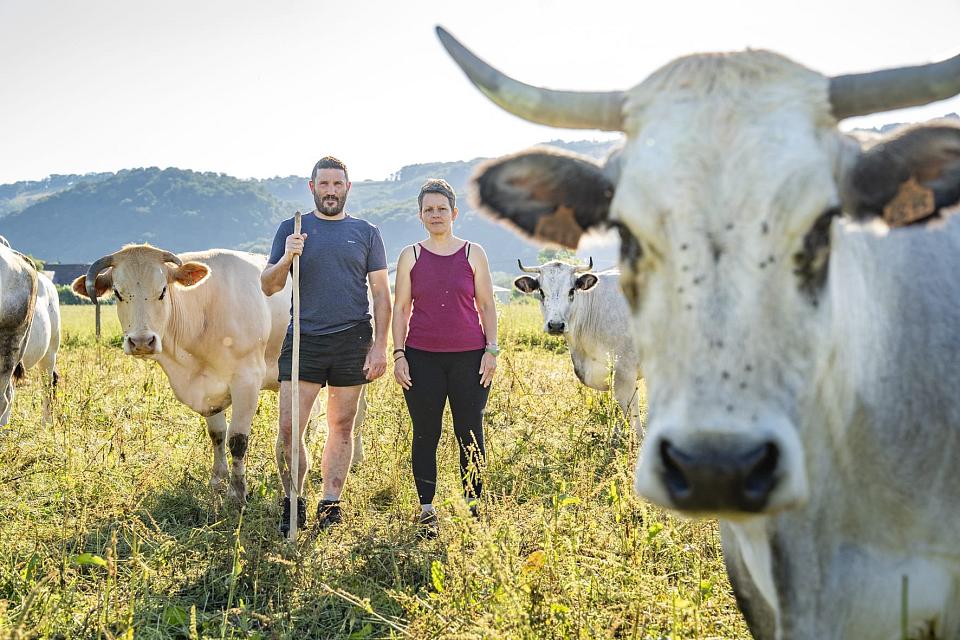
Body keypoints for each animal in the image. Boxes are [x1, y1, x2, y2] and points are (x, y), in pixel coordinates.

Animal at [73, 245, 365, 502]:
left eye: (163, 291)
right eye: (118, 293)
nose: (142, 341)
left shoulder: (247, 380)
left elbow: (237, 439)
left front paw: (237, 493)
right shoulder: (207, 389)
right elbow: (217, 435)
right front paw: (217, 480)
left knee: (357, 415)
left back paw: (357, 458)